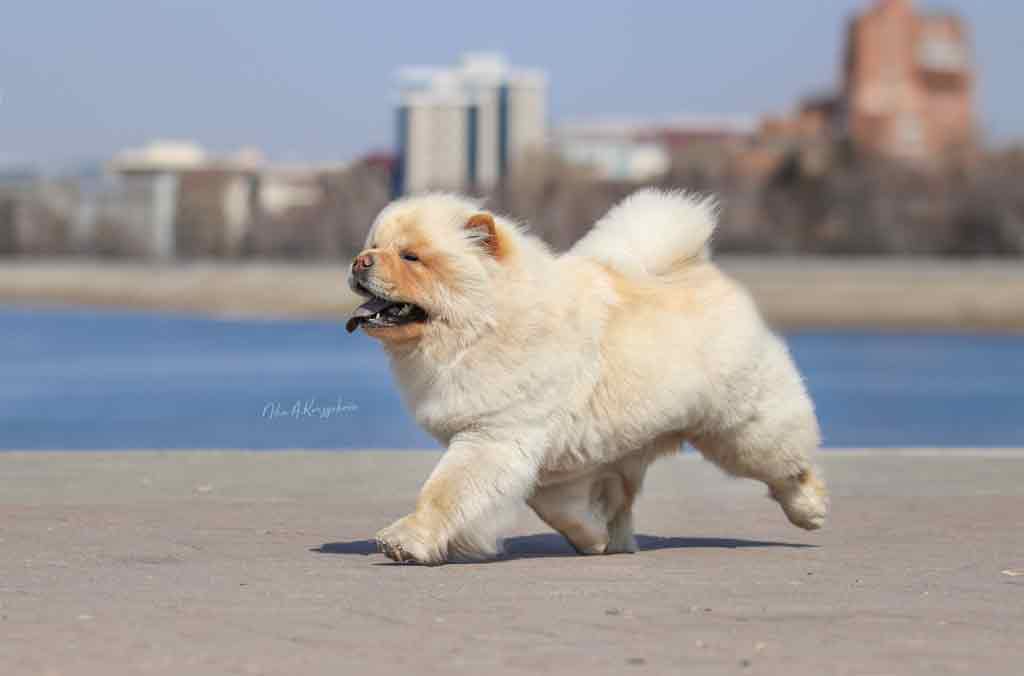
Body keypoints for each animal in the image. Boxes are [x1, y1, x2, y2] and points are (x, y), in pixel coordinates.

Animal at [346, 190, 827, 564]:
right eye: (374, 245)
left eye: (411, 257)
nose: (359, 261)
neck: (482, 326)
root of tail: (701, 268)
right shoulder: (544, 460)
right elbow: (556, 507)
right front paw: (593, 538)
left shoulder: (494, 434)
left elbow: (445, 491)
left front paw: (407, 540)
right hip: (633, 445)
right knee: (623, 497)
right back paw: (620, 541)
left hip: (740, 425)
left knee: (787, 464)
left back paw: (810, 508)